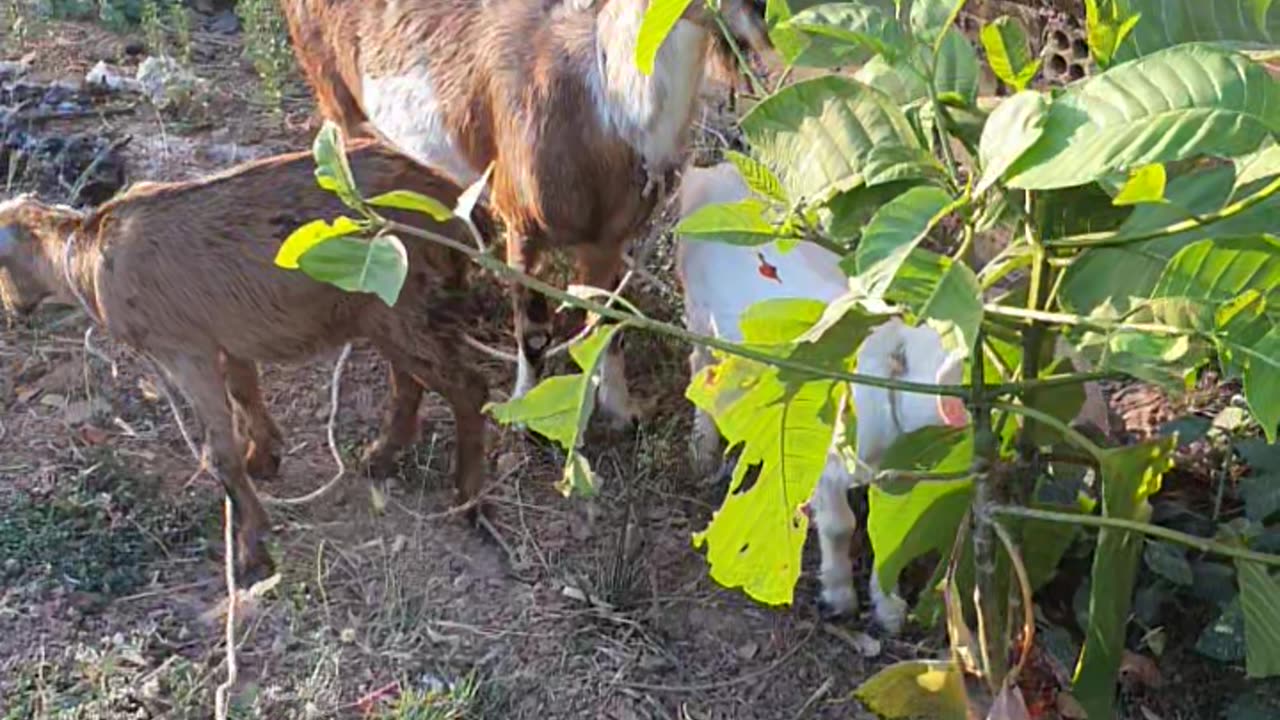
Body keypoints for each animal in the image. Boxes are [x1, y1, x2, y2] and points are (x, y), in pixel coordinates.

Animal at [0, 141, 492, 586]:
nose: (13, 309)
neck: (87, 256)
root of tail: (450, 198)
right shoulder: (224, 339)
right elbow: (244, 394)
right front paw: (264, 457)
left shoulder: (184, 349)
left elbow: (220, 452)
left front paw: (252, 549)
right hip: (384, 306)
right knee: (409, 382)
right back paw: (381, 457)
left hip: (401, 304)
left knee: (468, 388)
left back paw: (467, 500)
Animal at [279, 0, 771, 430]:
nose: (761, 18)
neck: (608, 102)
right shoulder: (524, 222)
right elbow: (534, 330)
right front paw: (522, 415)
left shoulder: (610, 237)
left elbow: (609, 319)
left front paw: (620, 411)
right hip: (332, 89)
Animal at [676, 162, 968, 632]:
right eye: (942, 374)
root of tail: (709, 174)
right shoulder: (826, 466)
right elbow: (839, 527)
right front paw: (839, 596)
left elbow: (889, 535)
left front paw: (889, 609)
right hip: (699, 315)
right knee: (699, 365)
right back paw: (703, 446)